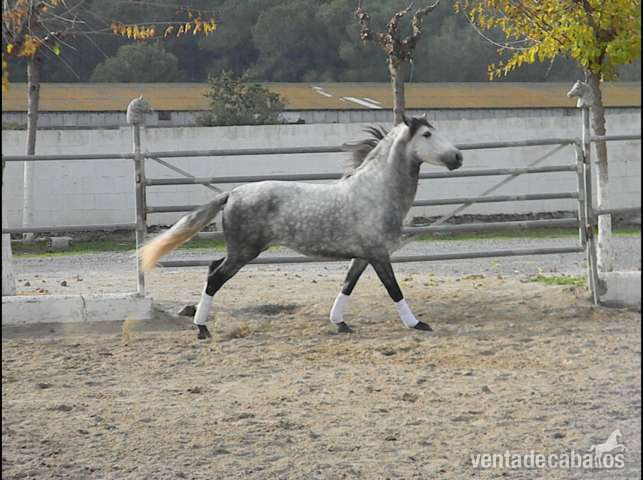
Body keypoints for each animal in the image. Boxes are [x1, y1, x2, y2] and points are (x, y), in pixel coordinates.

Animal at [139, 115, 463, 340]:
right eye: (427, 134)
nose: (458, 157)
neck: (375, 192)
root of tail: (232, 194)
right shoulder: (379, 254)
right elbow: (394, 289)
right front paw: (418, 324)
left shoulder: (363, 255)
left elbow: (348, 285)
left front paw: (340, 323)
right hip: (244, 252)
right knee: (215, 277)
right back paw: (202, 329)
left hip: (239, 250)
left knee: (211, 268)